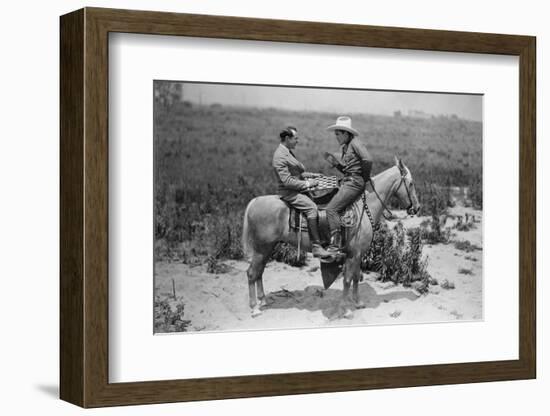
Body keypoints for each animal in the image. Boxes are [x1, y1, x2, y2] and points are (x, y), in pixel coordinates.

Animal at [243, 158, 422, 318]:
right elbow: (348, 279)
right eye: (411, 183)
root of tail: (255, 201)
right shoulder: (353, 254)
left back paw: (263, 300)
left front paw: (357, 303)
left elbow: (356, 277)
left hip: (268, 247)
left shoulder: (358, 254)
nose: (417, 208)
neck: (364, 207)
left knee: (259, 271)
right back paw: (254, 308)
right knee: (252, 273)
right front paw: (346, 309)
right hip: (261, 248)